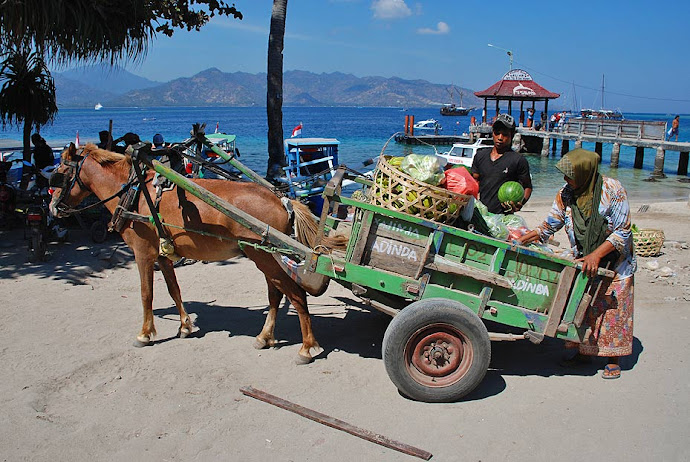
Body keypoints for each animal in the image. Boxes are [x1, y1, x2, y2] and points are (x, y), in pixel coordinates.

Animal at [49, 143, 338, 362]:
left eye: (59, 173)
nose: (52, 207)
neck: (133, 194)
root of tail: (282, 200)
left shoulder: (143, 253)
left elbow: (146, 294)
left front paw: (145, 333)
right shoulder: (163, 255)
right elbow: (174, 290)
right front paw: (185, 325)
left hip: (265, 256)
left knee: (296, 295)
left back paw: (307, 347)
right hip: (264, 256)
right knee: (276, 294)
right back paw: (265, 336)